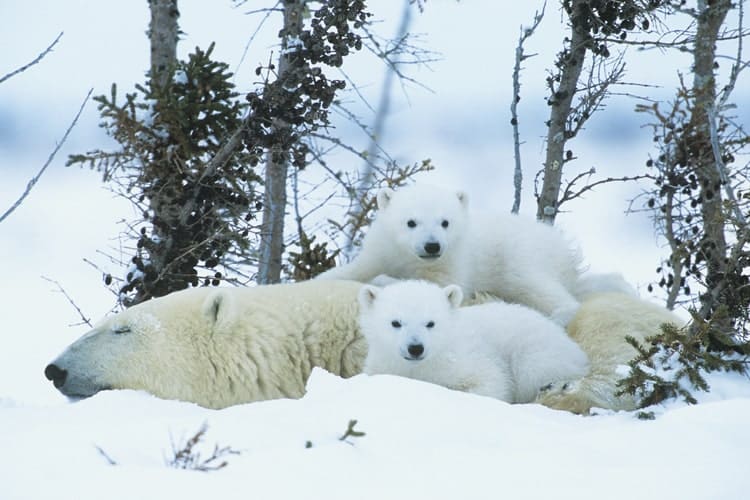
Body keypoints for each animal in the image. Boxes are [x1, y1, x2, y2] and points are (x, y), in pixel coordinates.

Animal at [314, 184, 584, 324]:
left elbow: (440, 286)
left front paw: (383, 281)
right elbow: (354, 269)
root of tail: (563, 246)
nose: (432, 246)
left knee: (533, 284)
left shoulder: (453, 261)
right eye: (411, 222)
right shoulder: (381, 248)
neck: (407, 256)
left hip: (521, 253)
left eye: (445, 222)